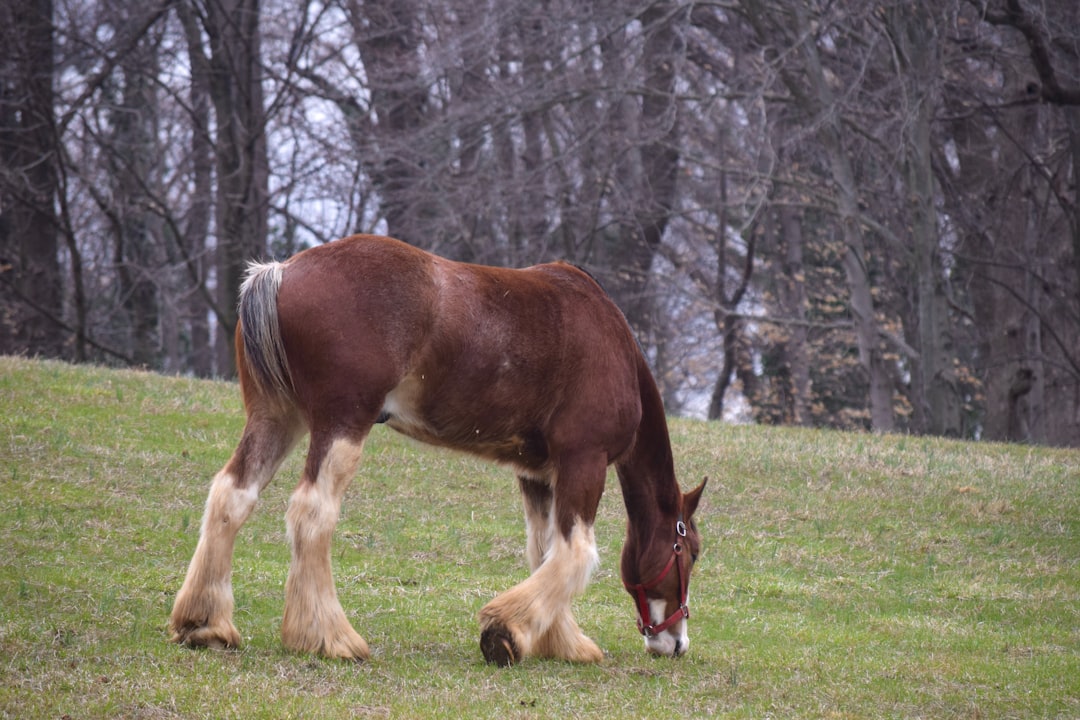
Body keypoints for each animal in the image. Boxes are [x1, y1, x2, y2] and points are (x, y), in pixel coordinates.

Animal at [168, 235, 708, 664]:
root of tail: (280, 272)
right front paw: (506, 631)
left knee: (233, 495)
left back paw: (205, 624)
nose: (675, 643)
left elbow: (545, 552)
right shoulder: (584, 461)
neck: (610, 342)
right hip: (341, 423)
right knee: (311, 511)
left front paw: (558, 641)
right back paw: (330, 637)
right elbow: (576, 554)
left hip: (278, 419)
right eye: (689, 550)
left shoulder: (538, 472)